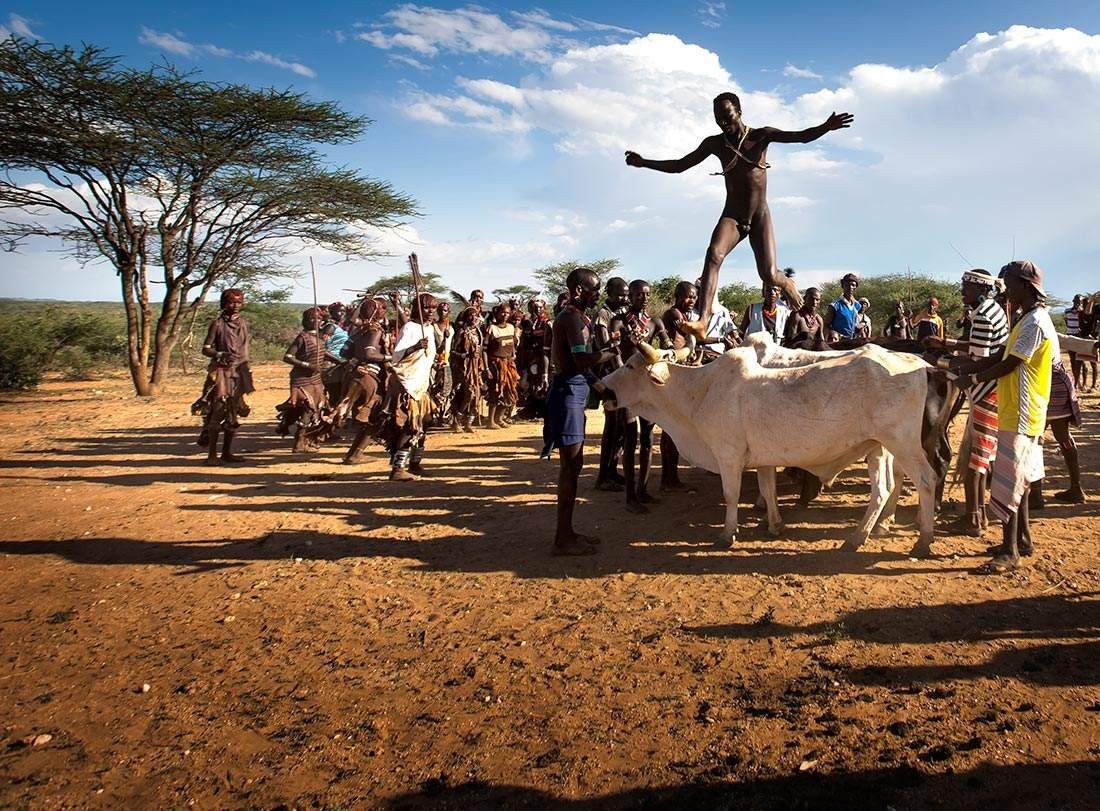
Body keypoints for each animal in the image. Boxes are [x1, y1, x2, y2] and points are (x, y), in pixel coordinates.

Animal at [602, 338, 946, 554]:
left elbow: (731, 495)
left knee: (926, 479)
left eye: (630, 366)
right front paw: (775, 525)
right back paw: (858, 537)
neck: (699, 392)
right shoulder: (763, 459)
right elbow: (768, 490)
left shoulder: (728, 456)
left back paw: (922, 540)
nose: (601, 386)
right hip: (878, 448)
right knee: (884, 489)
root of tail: (918, 363)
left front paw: (727, 534)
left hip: (901, 443)